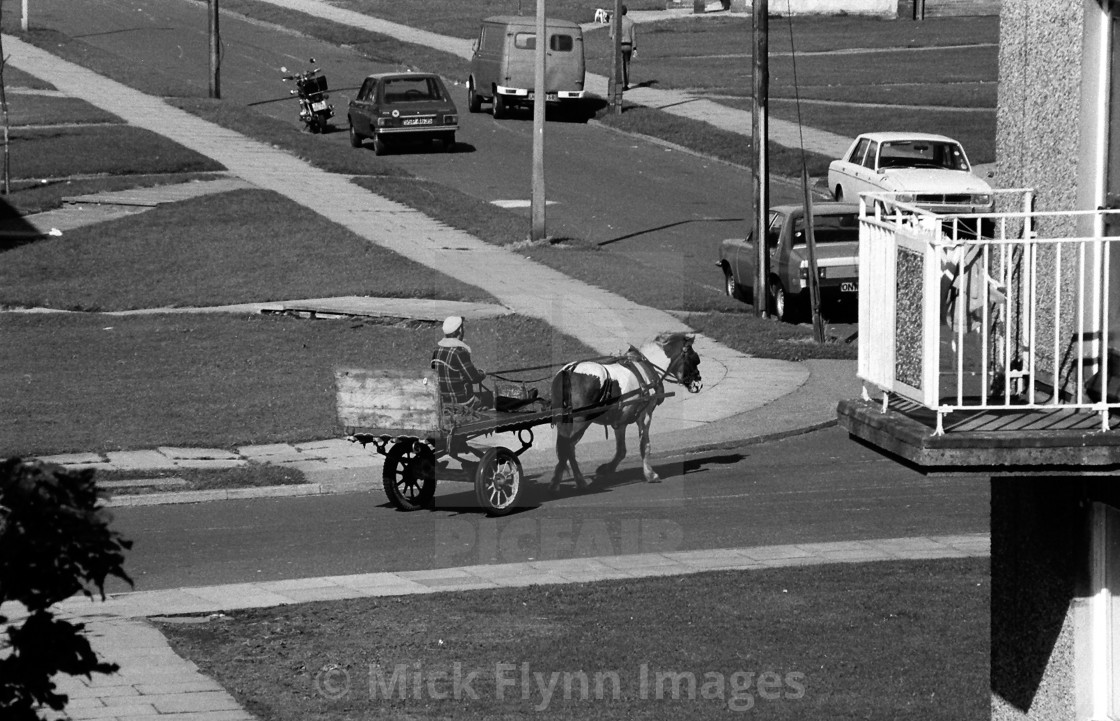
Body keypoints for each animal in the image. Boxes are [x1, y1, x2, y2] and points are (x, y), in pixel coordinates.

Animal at [548, 331, 698, 490]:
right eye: (695, 360)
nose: (698, 383)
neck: (646, 368)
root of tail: (570, 370)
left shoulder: (620, 421)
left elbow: (621, 450)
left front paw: (607, 469)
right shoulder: (645, 414)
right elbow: (644, 445)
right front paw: (650, 474)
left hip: (566, 421)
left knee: (566, 448)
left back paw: (563, 480)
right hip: (580, 421)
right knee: (568, 447)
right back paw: (571, 481)